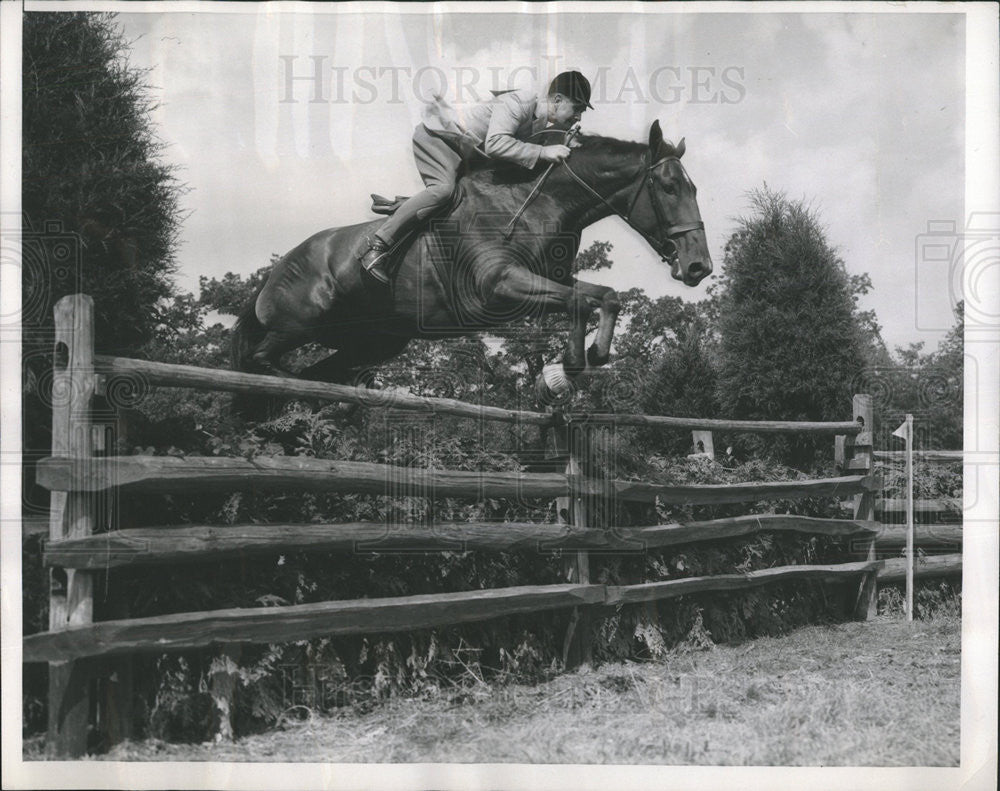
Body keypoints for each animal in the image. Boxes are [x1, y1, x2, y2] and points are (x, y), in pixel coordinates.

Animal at [230, 120, 712, 412]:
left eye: (693, 187)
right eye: (669, 187)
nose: (699, 267)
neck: (537, 203)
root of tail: (272, 275)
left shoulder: (541, 283)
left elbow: (603, 297)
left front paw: (587, 357)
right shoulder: (500, 288)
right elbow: (577, 302)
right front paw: (568, 367)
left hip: (374, 342)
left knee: (322, 372)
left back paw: (336, 400)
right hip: (299, 322)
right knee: (264, 359)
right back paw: (305, 396)